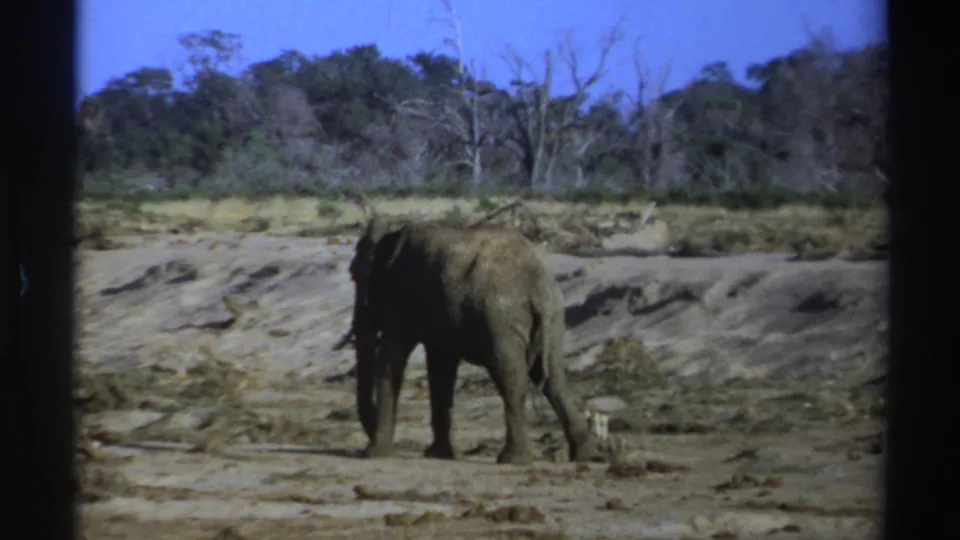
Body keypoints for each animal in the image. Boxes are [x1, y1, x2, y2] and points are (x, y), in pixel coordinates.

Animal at [343, 201, 598, 465]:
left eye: (354, 274)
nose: (365, 447)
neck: (390, 238)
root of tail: (537, 284)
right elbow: (440, 366)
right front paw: (439, 455)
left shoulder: (400, 292)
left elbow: (393, 355)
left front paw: (374, 454)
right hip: (554, 316)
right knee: (553, 379)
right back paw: (584, 454)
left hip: (501, 317)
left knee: (511, 377)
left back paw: (513, 459)